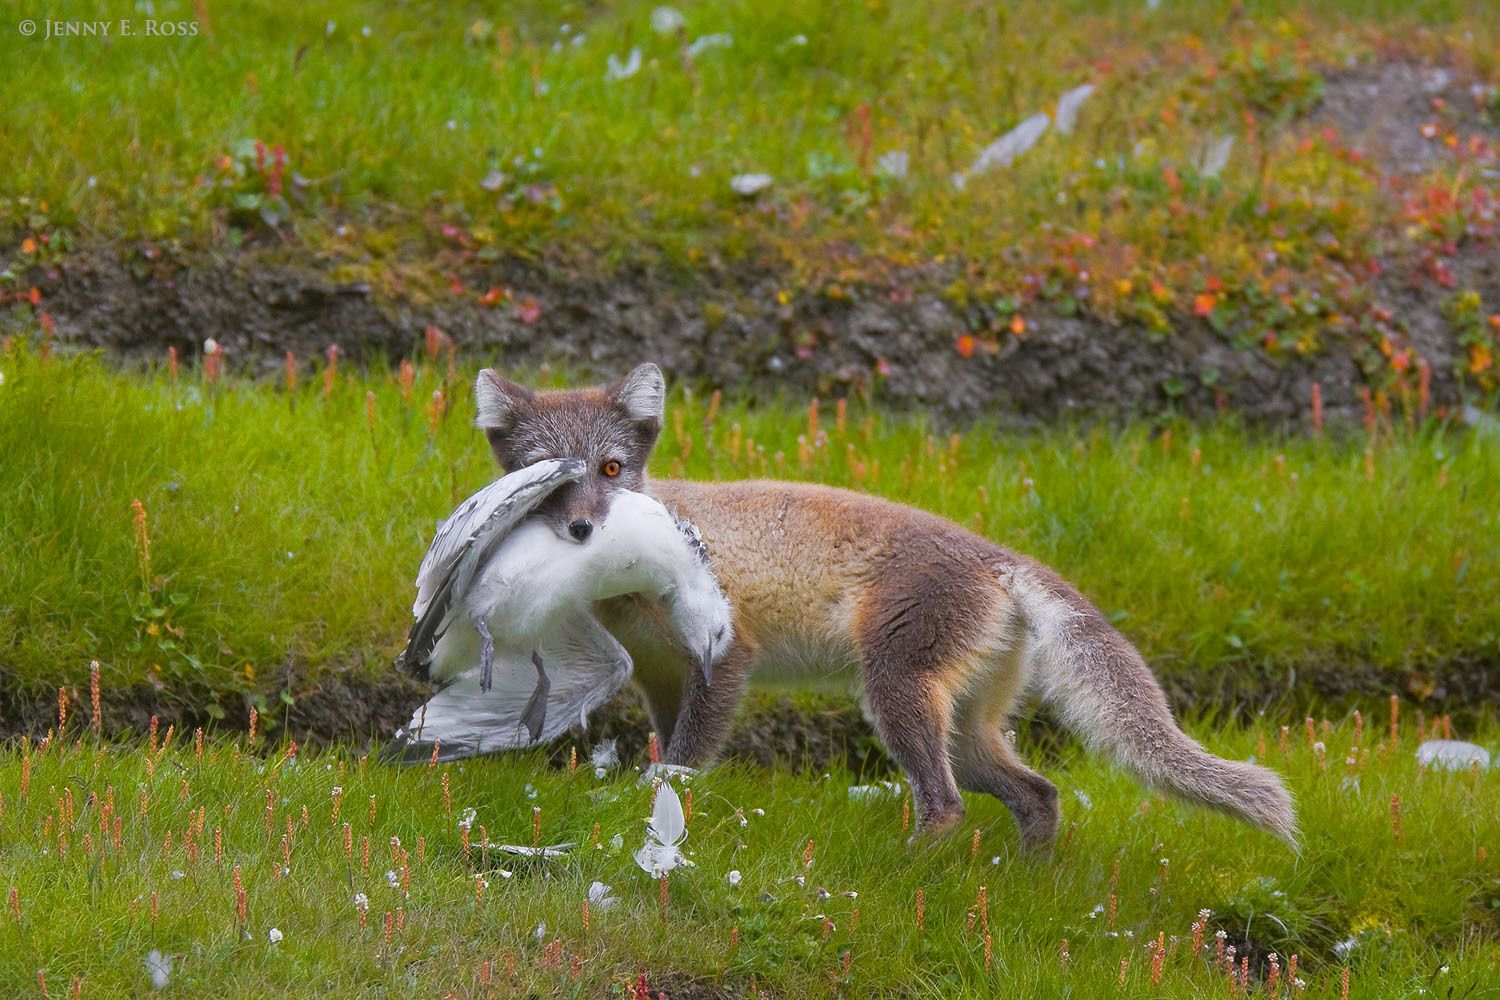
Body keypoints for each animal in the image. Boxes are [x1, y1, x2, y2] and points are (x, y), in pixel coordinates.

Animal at [471, 362, 1297, 849]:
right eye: (547, 474)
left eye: (612, 469)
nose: (584, 529)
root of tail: (1001, 558)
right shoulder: (660, 677)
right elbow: (670, 745)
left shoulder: (726, 655)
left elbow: (685, 759)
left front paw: (668, 811)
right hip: (966, 724)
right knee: (1038, 793)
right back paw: (1031, 884)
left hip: (895, 689)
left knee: (948, 803)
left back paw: (914, 874)